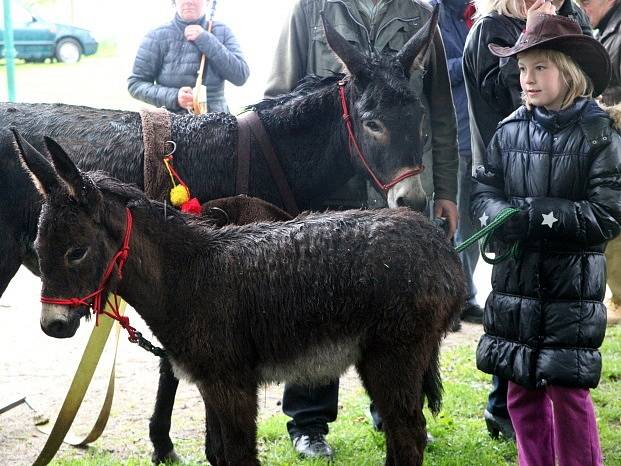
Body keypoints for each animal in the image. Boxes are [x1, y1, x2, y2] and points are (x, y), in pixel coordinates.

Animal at [18, 132, 464, 466]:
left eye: (76, 252)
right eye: (38, 250)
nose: (52, 326)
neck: (187, 276)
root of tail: (437, 244)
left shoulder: (232, 385)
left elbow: (239, 456)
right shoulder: (208, 383)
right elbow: (218, 454)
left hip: (394, 356)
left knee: (407, 433)